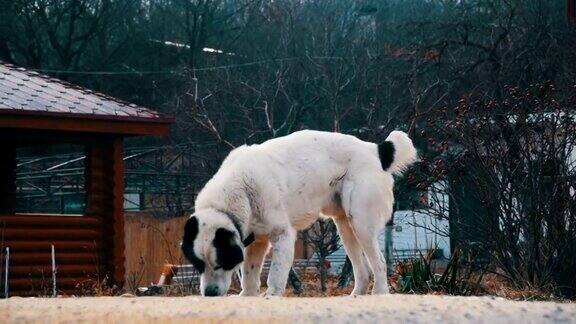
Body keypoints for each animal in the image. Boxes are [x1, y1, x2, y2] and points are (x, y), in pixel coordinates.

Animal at [182, 129, 416, 296]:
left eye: (221, 262)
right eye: (199, 265)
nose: (209, 293)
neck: (240, 189)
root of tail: (376, 150)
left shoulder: (283, 235)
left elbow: (275, 275)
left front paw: (271, 296)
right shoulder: (255, 242)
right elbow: (249, 276)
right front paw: (247, 297)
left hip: (361, 223)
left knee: (380, 263)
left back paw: (379, 294)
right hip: (345, 226)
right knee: (363, 270)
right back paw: (356, 296)